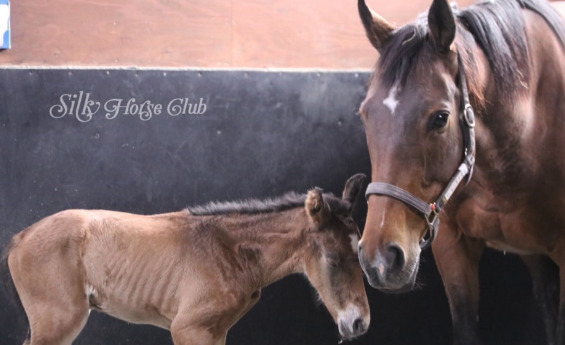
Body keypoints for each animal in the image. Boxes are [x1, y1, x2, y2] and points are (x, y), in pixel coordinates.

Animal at [2, 175, 370, 344]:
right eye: (334, 257)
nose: (359, 323)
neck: (229, 250)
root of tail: (21, 238)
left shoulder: (216, 332)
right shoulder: (189, 328)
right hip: (58, 323)